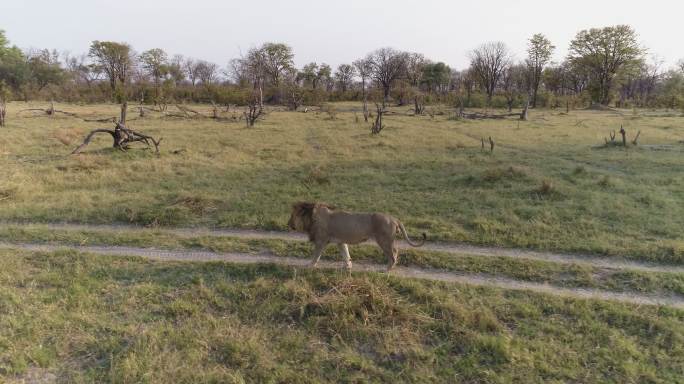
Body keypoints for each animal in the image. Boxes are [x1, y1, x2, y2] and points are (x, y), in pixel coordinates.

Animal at [286, 202, 424, 272]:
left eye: (292, 215)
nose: (288, 224)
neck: (312, 217)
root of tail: (394, 218)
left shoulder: (321, 240)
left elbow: (316, 256)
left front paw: (309, 266)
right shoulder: (340, 241)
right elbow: (346, 254)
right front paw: (348, 266)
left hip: (384, 240)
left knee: (394, 253)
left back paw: (387, 269)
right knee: (394, 252)